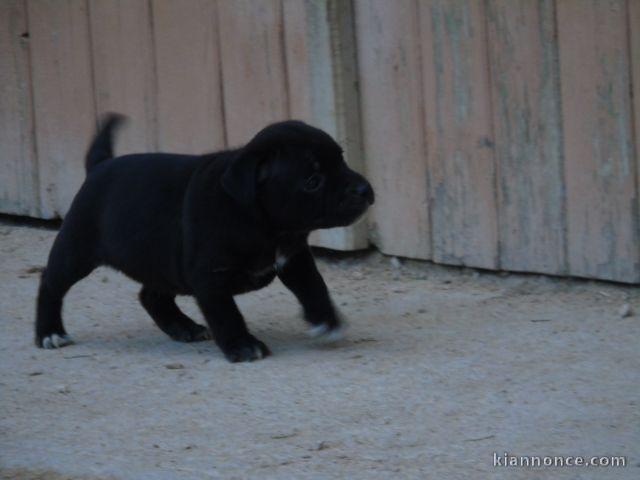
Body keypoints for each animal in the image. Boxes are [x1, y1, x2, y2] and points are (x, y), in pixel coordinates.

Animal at [33, 114, 376, 362]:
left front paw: (326, 320)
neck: (260, 221)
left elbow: (314, 288)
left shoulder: (294, 258)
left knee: (151, 295)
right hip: (76, 251)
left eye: (342, 159)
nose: (365, 190)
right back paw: (49, 332)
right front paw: (242, 346)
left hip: (162, 265)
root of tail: (99, 166)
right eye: (312, 181)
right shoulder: (211, 278)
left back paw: (182, 327)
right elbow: (226, 314)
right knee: (51, 282)